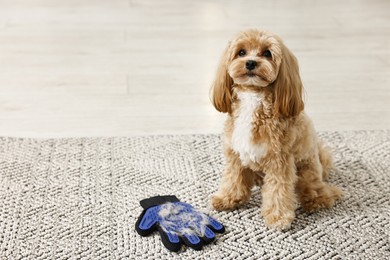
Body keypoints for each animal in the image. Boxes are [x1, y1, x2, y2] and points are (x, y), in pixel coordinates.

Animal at [210, 29, 342, 231]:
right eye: (241, 52)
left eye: (267, 53)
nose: (250, 62)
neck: (253, 98)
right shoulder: (235, 155)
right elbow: (233, 179)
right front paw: (227, 199)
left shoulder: (279, 161)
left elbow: (278, 191)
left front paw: (278, 218)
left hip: (306, 171)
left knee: (319, 191)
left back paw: (316, 200)